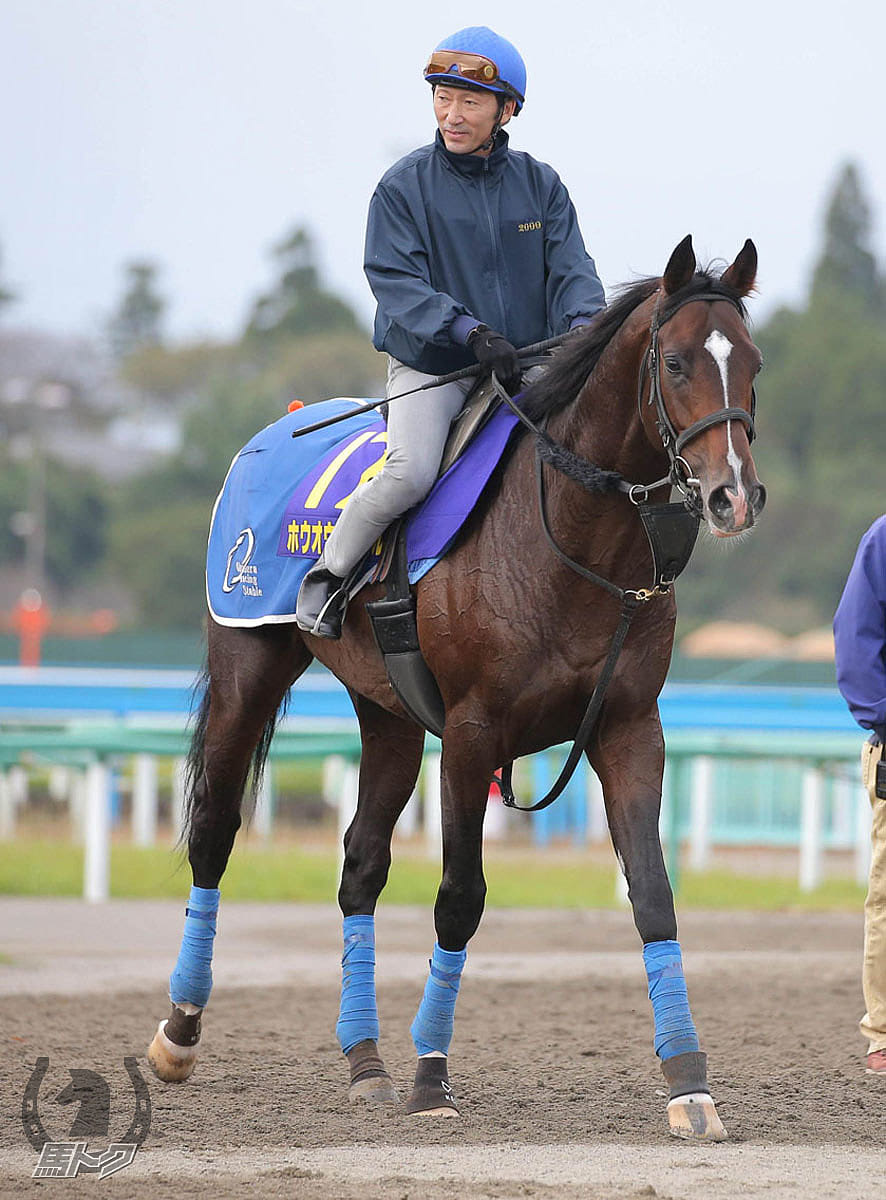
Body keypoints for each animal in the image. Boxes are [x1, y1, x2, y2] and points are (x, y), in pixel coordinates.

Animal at [148, 236, 763, 1142]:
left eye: (752, 363)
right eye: (678, 361)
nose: (732, 495)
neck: (571, 540)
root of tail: (275, 427)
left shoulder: (627, 726)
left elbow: (652, 893)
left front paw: (689, 1084)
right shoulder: (473, 737)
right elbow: (459, 900)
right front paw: (431, 1076)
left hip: (390, 718)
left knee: (360, 864)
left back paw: (365, 1062)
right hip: (245, 670)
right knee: (214, 834)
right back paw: (179, 1033)